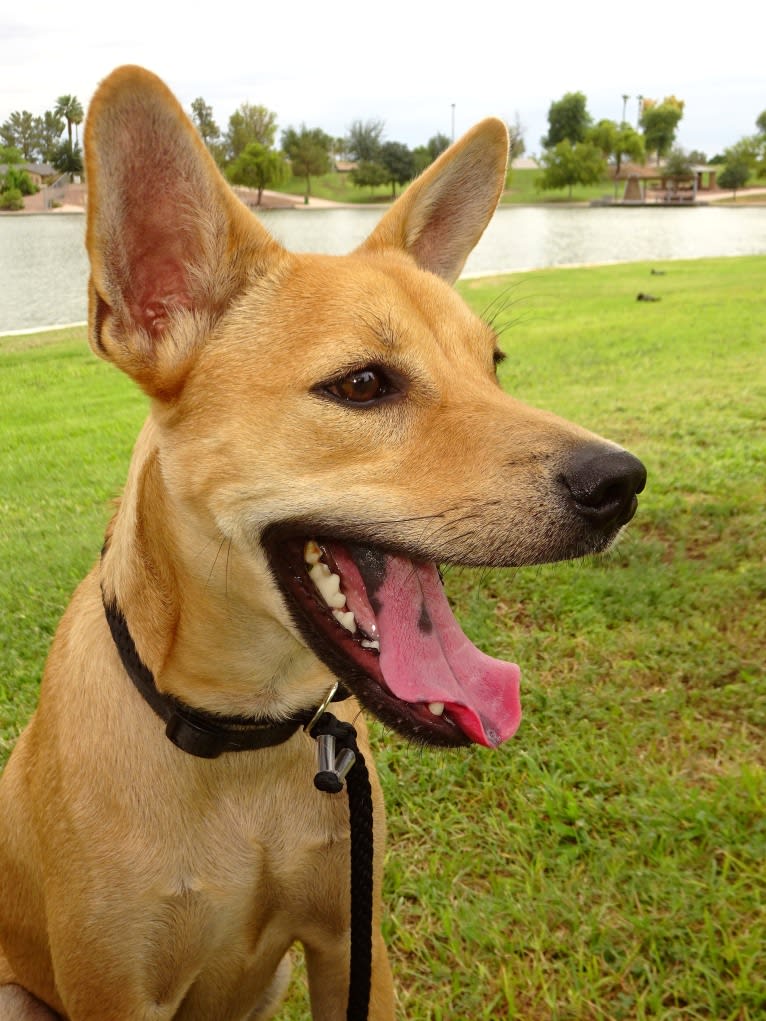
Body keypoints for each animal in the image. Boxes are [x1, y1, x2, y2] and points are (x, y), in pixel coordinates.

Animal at [0, 67, 649, 1016]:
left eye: (492, 365)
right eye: (364, 384)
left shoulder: (353, 943)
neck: (244, 745)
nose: (621, 484)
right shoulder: (116, 989)